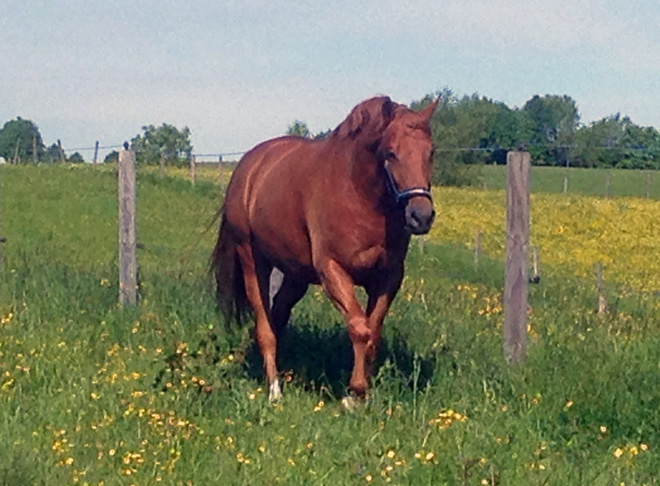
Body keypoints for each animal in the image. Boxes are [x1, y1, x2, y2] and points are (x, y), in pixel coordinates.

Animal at [213, 96, 438, 402]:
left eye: (431, 152)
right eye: (391, 153)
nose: (421, 216)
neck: (358, 194)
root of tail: (249, 166)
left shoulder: (388, 278)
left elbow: (373, 333)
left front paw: (362, 394)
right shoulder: (333, 270)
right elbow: (359, 328)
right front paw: (354, 393)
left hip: (295, 275)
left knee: (277, 317)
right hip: (252, 263)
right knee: (264, 327)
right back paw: (274, 391)